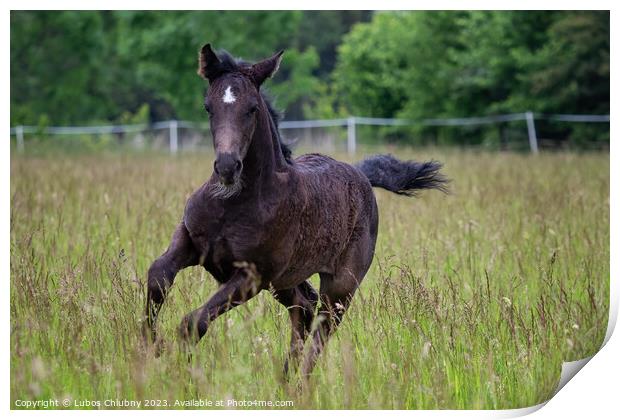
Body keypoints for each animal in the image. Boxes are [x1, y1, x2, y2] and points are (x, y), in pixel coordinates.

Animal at [143, 44, 448, 376]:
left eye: (252, 108)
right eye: (208, 107)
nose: (226, 167)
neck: (233, 204)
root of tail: (362, 174)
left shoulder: (253, 277)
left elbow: (192, 322)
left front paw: (177, 368)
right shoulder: (191, 241)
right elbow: (158, 275)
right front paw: (149, 347)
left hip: (339, 286)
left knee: (322, 328)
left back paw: (299, 380)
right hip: (286, 281)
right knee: (303, 308)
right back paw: (285, 376)